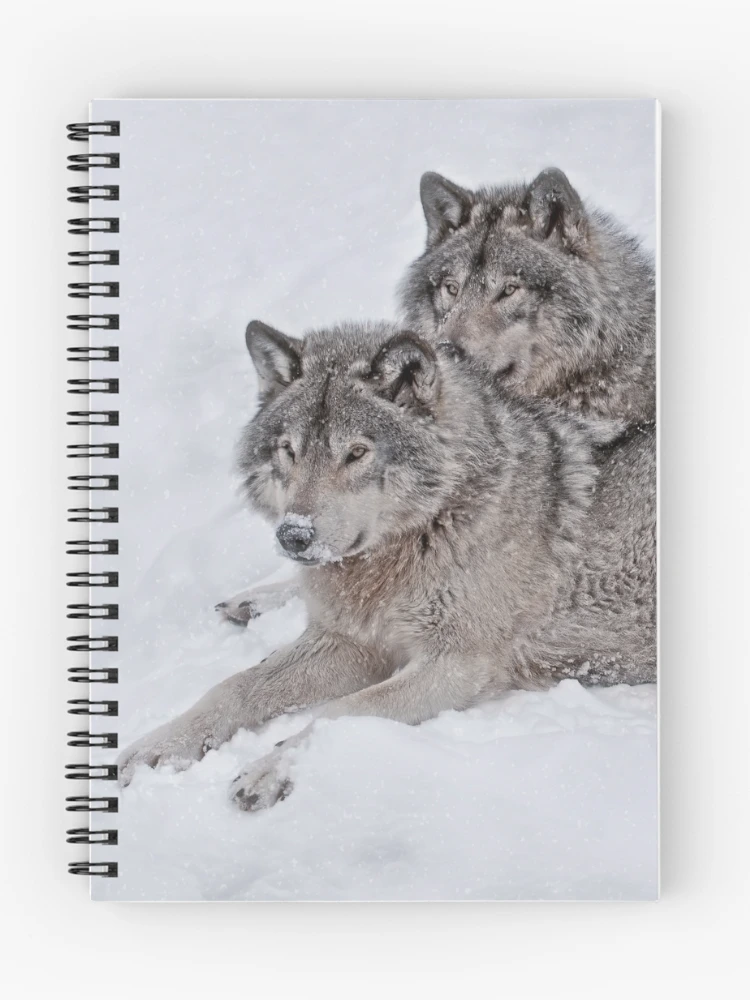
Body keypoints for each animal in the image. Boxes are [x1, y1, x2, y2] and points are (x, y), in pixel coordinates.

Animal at [119, 320, 655, 809]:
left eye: (356, 453)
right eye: (289, 451)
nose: (294, 535)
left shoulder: (455, 665)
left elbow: (340, 711)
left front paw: (270, 768)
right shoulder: (349, 641)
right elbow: (235, 687)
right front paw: (159, 744)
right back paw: (252, 600)